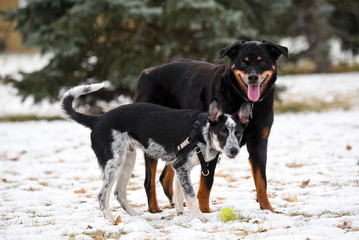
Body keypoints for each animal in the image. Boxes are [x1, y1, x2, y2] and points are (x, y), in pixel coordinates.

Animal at [62, 83, 252, 222]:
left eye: (238, 133)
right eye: (223, 133)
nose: (234, 150)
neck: (202, 132)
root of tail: (97, 119)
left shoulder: (181, 168)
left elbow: (179, 195)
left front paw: (181, 216)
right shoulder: (181, 166)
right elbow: (190, 195)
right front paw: (200, 217)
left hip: (127, 160)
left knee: (119, 192)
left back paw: (135, 215)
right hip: (113, 163)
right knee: (103, 194)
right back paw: (110, 219)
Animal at [135, 39, 290, 214]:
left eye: (262, 62)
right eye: (243, 63)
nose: (253, 77)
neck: (242, 98)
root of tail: (145, 73)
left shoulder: (259, 143)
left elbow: (261, 180)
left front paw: (268, 209)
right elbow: (206, 184)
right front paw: (205, 212)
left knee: (164, 176)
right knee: (149, 181)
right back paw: (154, 208)